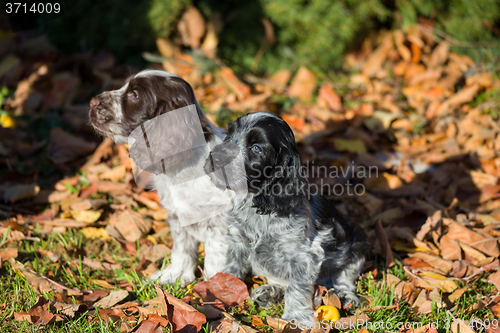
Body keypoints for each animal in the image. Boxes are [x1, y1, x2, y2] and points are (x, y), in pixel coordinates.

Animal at [89, 68, 229, 284]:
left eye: (135, 95)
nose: (92, 101)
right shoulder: (178, 216)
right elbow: (182, 248)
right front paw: (174, 276)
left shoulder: (220, 222)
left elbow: (216, 258)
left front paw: (216, 287)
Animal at [202, 113, 368, 326]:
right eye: (229, 135)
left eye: (256, 148)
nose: (215, 158)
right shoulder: (238, 241)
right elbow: (232, 268)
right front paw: (224, 292)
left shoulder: (303, 256)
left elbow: (296, 287)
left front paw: (296, 318)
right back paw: (269, 293)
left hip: (357, 243)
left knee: (344, 278)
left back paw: (344, 296)